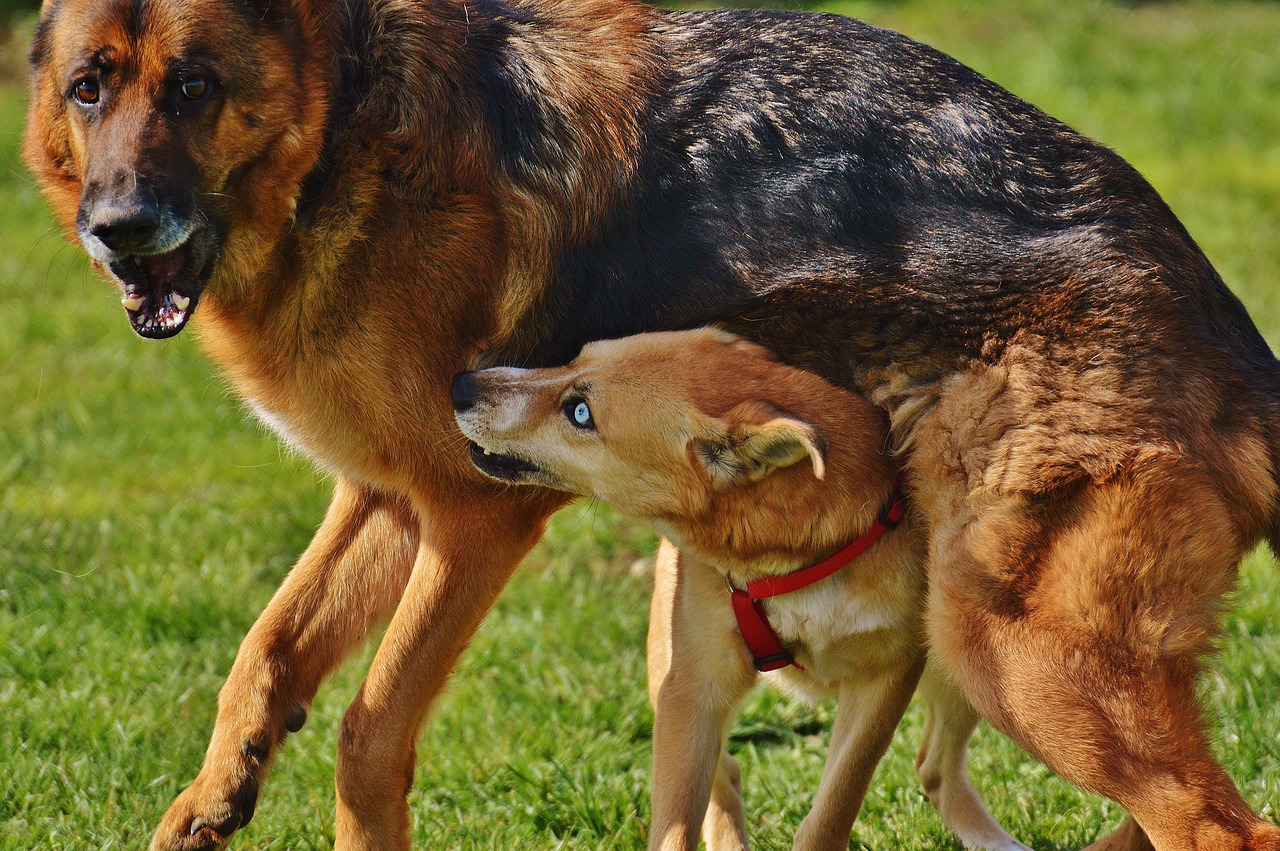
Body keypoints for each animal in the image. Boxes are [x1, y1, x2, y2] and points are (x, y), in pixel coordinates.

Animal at [455, 326, 1034, 849]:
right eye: (576, 356)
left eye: (580, 413)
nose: (460, 383)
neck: (795, 562)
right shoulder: (693, 683)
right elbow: (676, 826)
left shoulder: (884, 680)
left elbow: (831, 812)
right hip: (669, 674)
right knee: (726, 773)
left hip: (970, 668)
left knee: (933, 766)